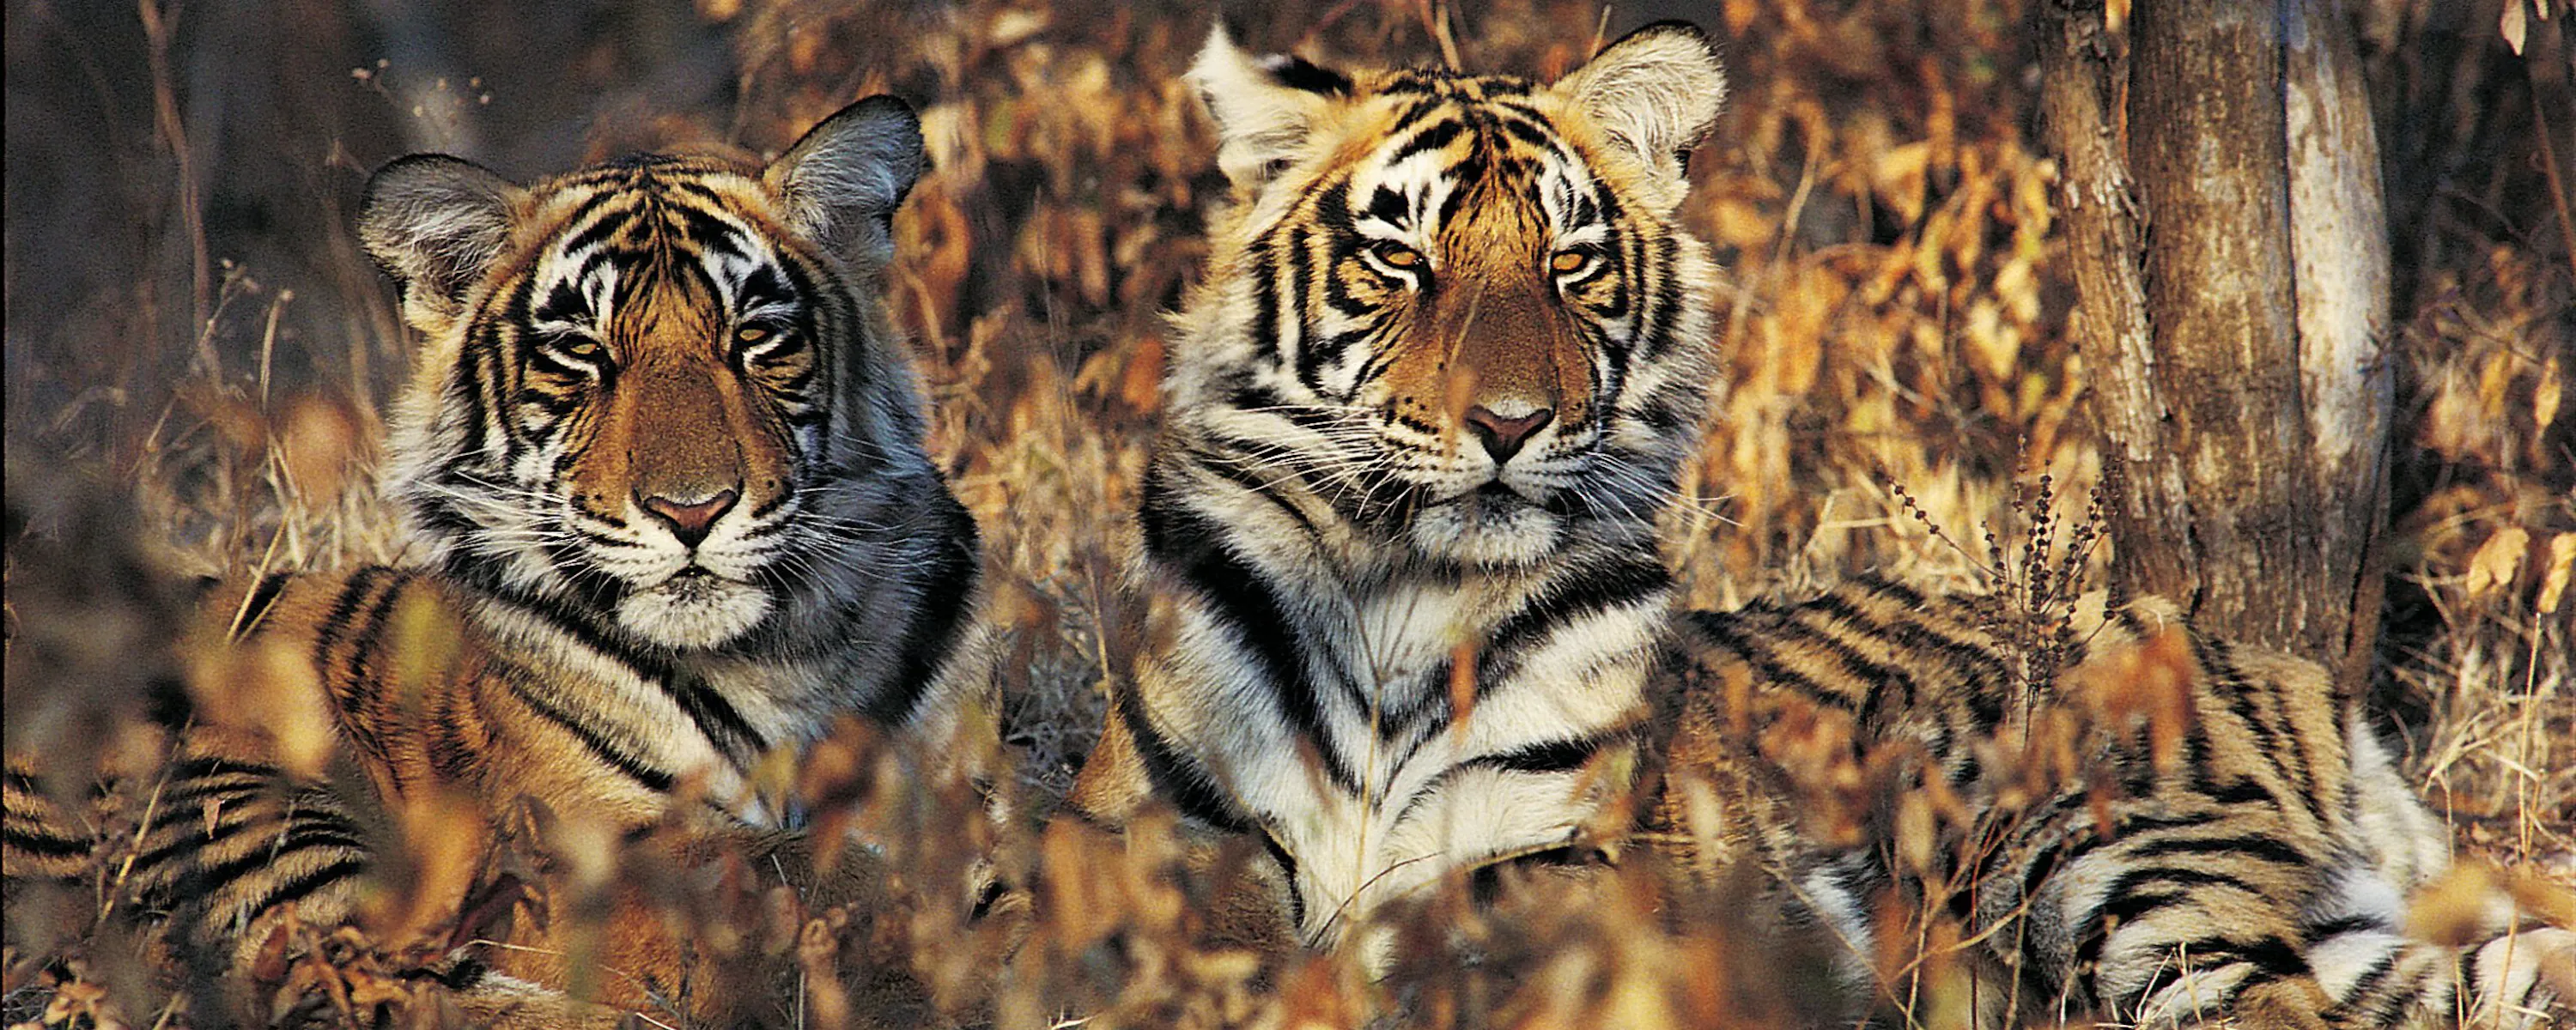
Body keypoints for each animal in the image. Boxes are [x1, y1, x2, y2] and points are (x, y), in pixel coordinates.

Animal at [3, 94, 997, 1025]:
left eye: (754, 340)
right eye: (583, 354)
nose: (693, 511)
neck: (791, 651)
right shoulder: (583, 850)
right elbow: (799, 876)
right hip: (236, 804)